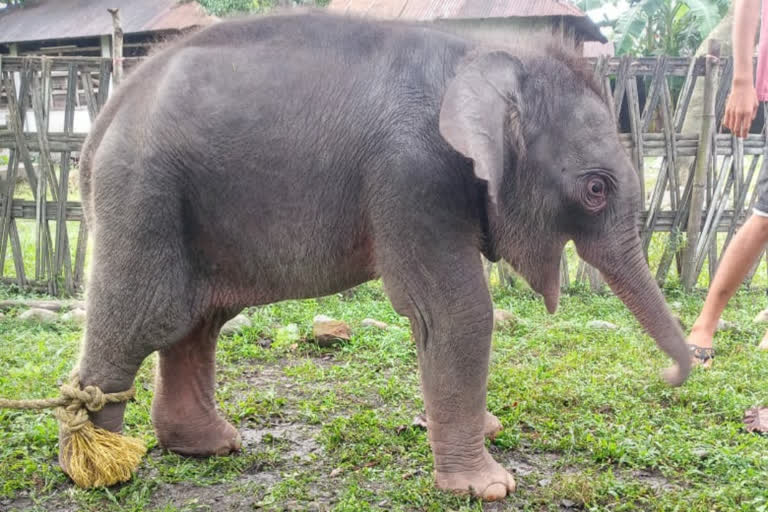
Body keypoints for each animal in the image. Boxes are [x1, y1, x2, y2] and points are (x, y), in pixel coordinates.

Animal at [72, 9, 692, 500]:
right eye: (596, 189)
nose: (672, 374)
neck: (481, 53)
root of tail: (106, 115)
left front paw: (484, 431)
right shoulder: (411, 171)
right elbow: (458, 311)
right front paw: (489, 487)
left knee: (198, 323)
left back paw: (210, 447)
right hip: (143, 192)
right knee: (143, 319)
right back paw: (100, 470)